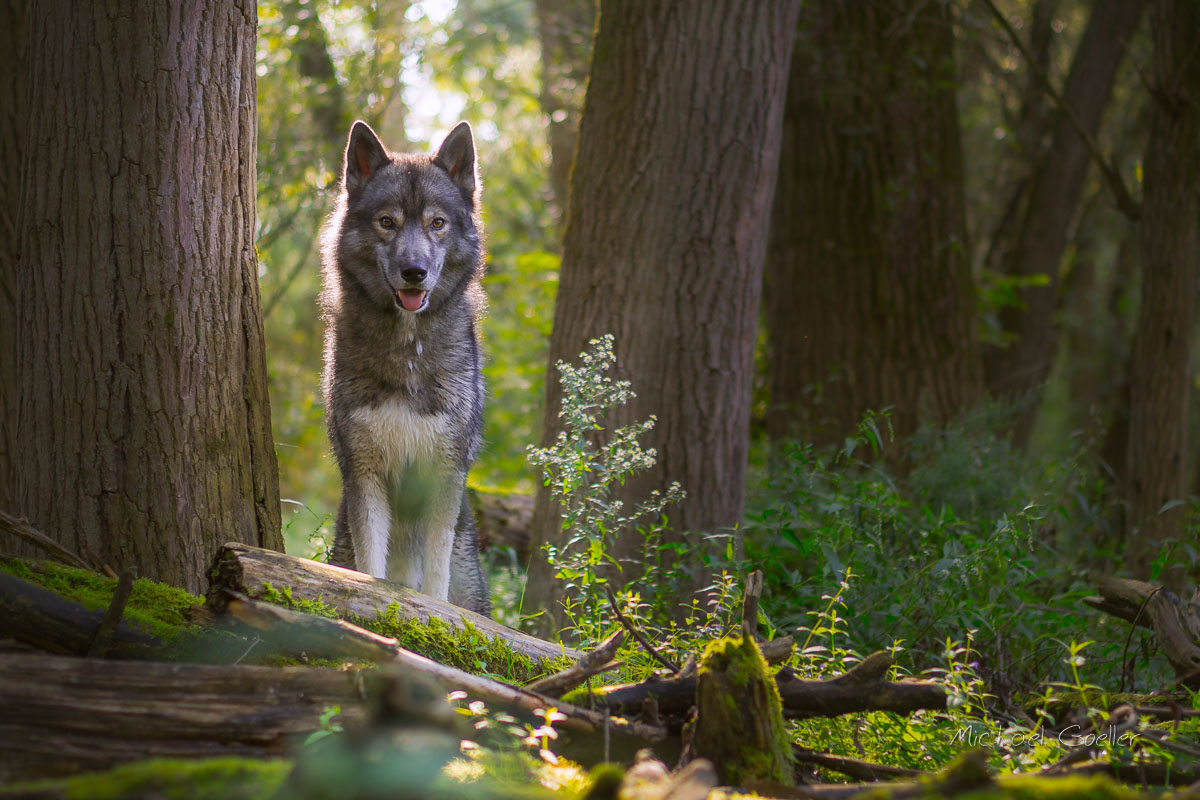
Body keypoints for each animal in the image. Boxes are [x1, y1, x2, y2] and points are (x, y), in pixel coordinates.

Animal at [319, 122, 492, 618]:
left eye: (437, 223)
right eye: (387, 222)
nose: (414, 271)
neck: (406, 352)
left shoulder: (444, 476)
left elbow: (435, 580)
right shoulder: (365, 473)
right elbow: (370, 569)